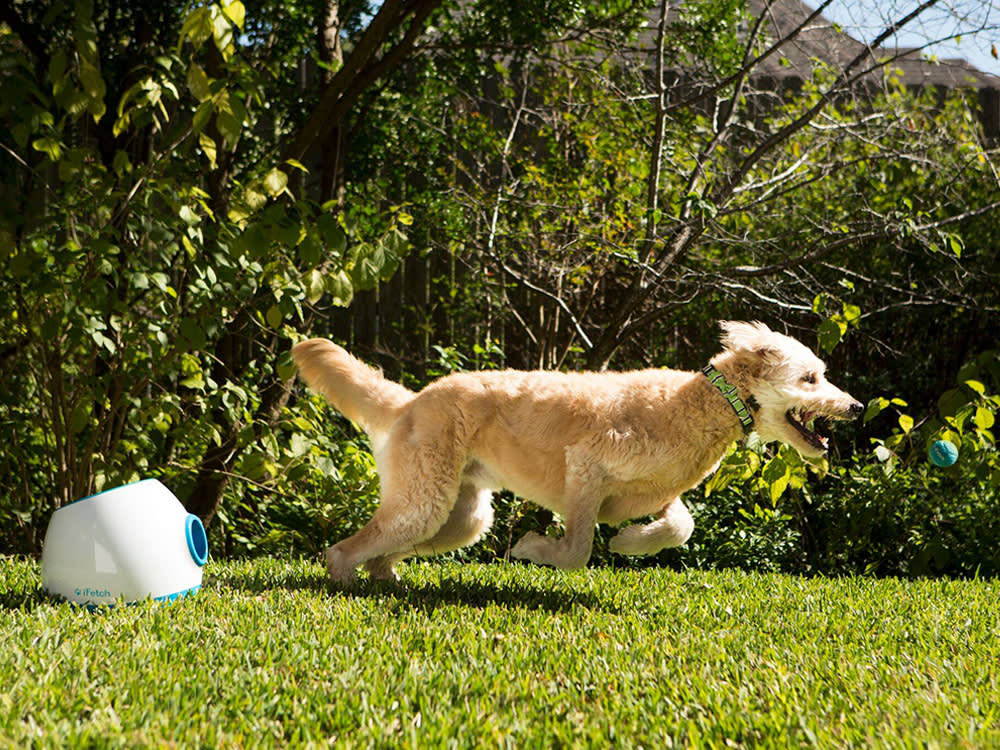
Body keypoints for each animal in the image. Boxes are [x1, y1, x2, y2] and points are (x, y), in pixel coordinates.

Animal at [292, 320, 864, 584]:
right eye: (811, 378)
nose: (857, 407)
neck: (694, 404)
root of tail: (412, 400)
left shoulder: (661, 493)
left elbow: (681, 527)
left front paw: (633, 543)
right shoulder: (586, 468)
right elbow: (577, 550)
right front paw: (531, 548)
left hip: (458, 517)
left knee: (382, 548)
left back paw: (387, 579)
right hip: (426, 501)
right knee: (344, 549)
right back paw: (348, 582)